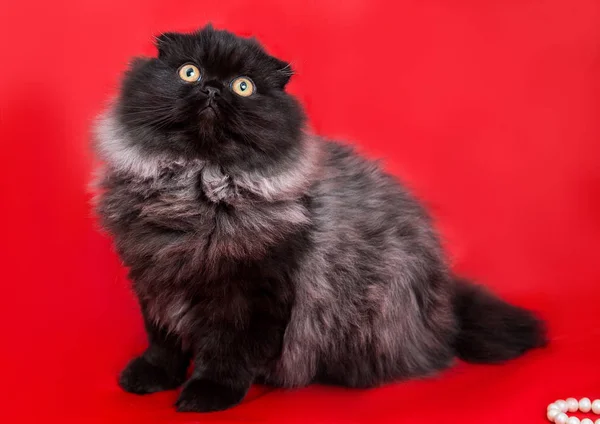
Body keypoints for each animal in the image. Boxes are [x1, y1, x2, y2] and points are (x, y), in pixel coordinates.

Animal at [91, 24, 548, 412]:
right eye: (189, 71)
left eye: (244, 86)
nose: (213, 88)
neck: (196, 189)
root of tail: (446, 308)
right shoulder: (155, 278)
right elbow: (163, 342)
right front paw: (149, 377)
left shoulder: (255, 291)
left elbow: (226, 352)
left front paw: (207, 394)